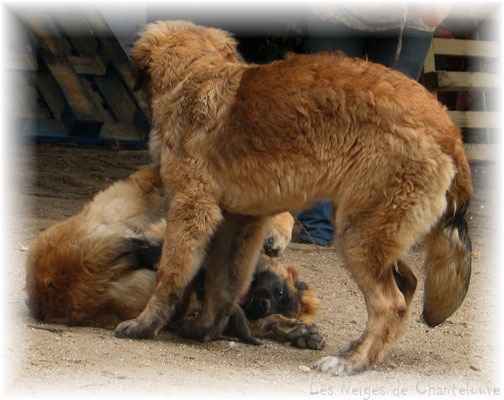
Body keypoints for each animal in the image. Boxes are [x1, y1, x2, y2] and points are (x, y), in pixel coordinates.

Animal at [26, 166, 322, 350]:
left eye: (277, 303)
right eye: (279, 292)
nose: (261, 305)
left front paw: (297, 332)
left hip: (117, 209)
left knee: (145, 182)